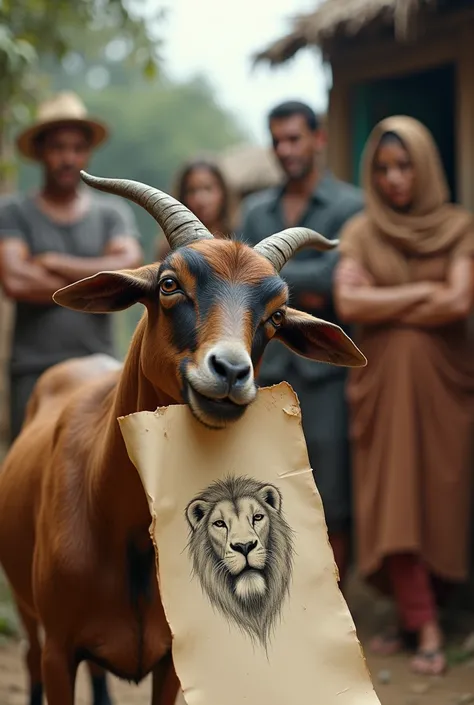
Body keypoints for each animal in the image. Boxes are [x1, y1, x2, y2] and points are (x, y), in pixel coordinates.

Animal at [0, 172, 366, 704]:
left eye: (276, 315)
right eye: (169, 284)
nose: (231, 371)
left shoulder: (171, 662)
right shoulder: (59, 650)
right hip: (28, 613)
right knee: (27, 657)